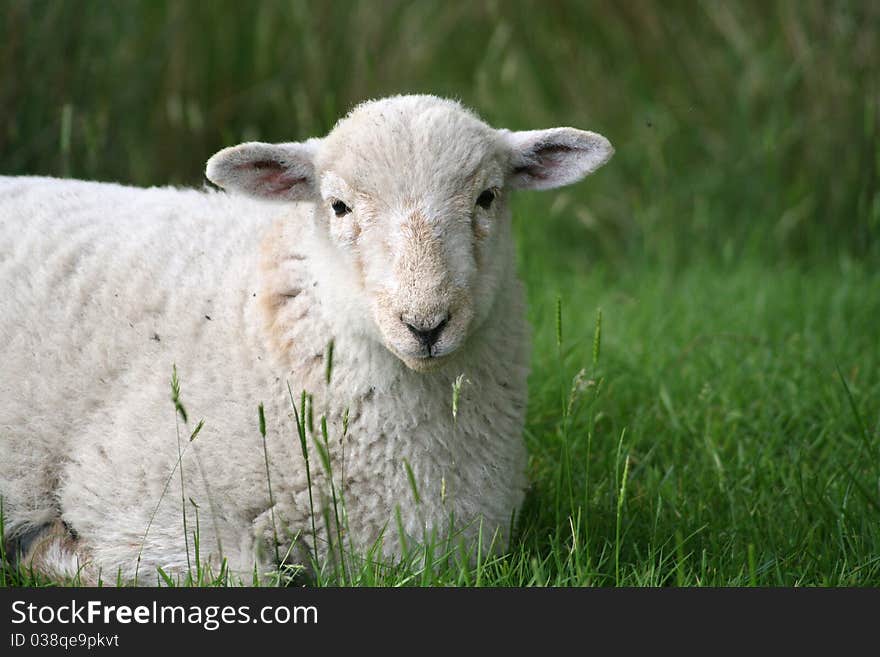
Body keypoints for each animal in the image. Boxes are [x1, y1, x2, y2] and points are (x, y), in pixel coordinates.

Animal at [0, 95, 612, 580]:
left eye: (487, 197)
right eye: (338, 206)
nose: (426, 324)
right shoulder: (140, 497)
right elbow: (247, 579)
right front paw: (50, 553)